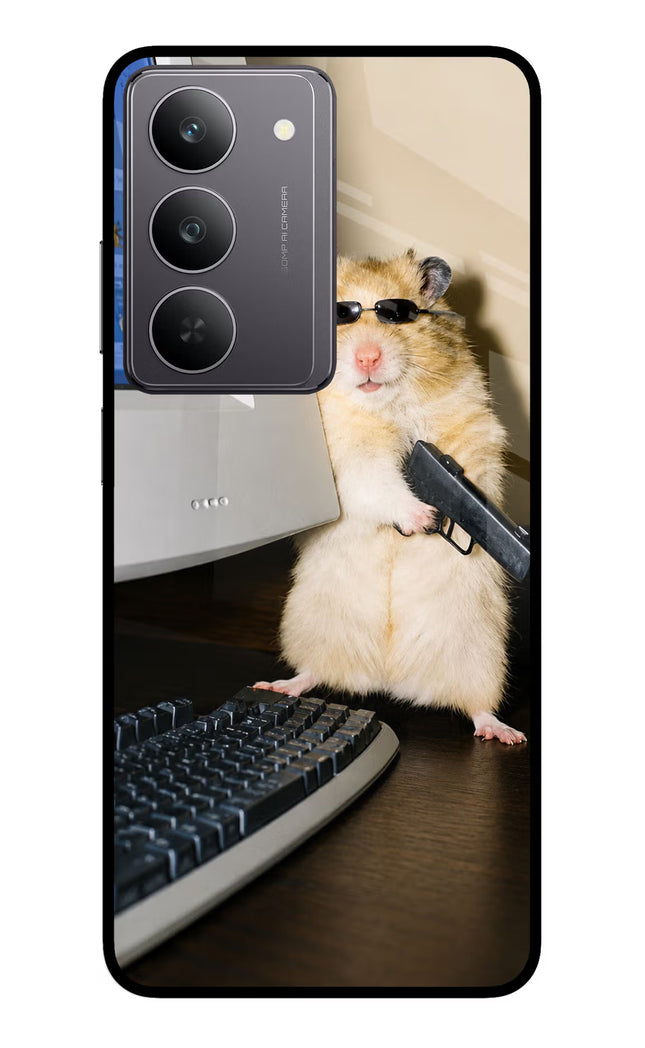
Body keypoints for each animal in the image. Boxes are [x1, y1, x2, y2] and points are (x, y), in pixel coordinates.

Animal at [256, 250, 526, 744]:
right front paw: (423, 518)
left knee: (477, 705)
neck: (384, 404)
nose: (368, 357)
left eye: (397, 315)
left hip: (480, 654)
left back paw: (504, 733)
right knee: (314, 672)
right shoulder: (348, 460)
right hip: (311, 626)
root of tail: (389, 679)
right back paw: (279, 685)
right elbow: (378, 482)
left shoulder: (471, 426)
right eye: (338, 316)